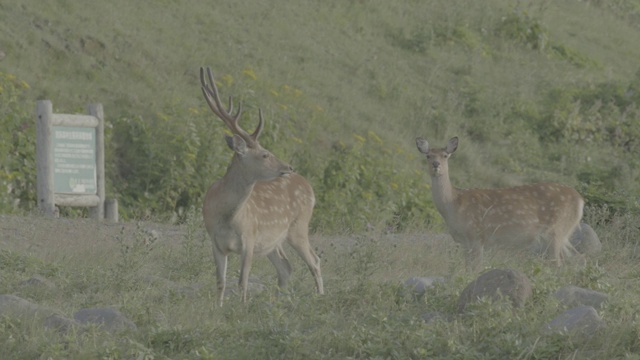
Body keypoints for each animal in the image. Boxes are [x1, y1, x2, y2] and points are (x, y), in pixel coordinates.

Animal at [201, 67, 324, 304]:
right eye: (265, 154)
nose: (289, 166)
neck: (226, 216)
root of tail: (308, 186)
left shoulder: (249, 238)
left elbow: (242, 281)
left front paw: (241, 307)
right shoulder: (215, 241)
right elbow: (220, 282)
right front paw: (217, 308)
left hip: (298, 226)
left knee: (315, 261)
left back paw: (320, 298)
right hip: (274, 241)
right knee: (286, 267)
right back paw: (275, 303)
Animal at [416, 136, 584, 272]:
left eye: (445, 155)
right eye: (428, 156)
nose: (436, 164)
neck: (454, 205)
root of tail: (580, 200)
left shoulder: (477, 235)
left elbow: (476, 268)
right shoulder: (464, 242)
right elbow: (467, 268)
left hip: (556, 230)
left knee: (558, 262)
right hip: (563, 234)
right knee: (577, 257)